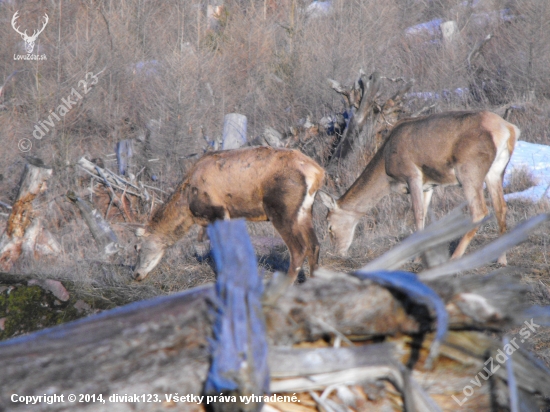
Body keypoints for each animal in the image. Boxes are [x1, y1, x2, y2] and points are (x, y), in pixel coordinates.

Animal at [134, 146, 326, 282]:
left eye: (137, 247)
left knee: (299, 249)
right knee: (314, 245)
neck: (187, 205)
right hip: (305, 210)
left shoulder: (217, 212)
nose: (135, 274)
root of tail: (317, 172)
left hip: (282, 208)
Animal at [320, 109, 520, 264]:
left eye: (329, 225)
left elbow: (417, 214)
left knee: (480, 211)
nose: (337, 252)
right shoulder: (429, 185)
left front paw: (416, 258)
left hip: (469, 170)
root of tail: (509, 129)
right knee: (501, 208)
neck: (386, 167)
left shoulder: (412, 174)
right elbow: (424, 214)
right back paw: (501, 259)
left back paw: (455, 258)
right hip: (496, 171)